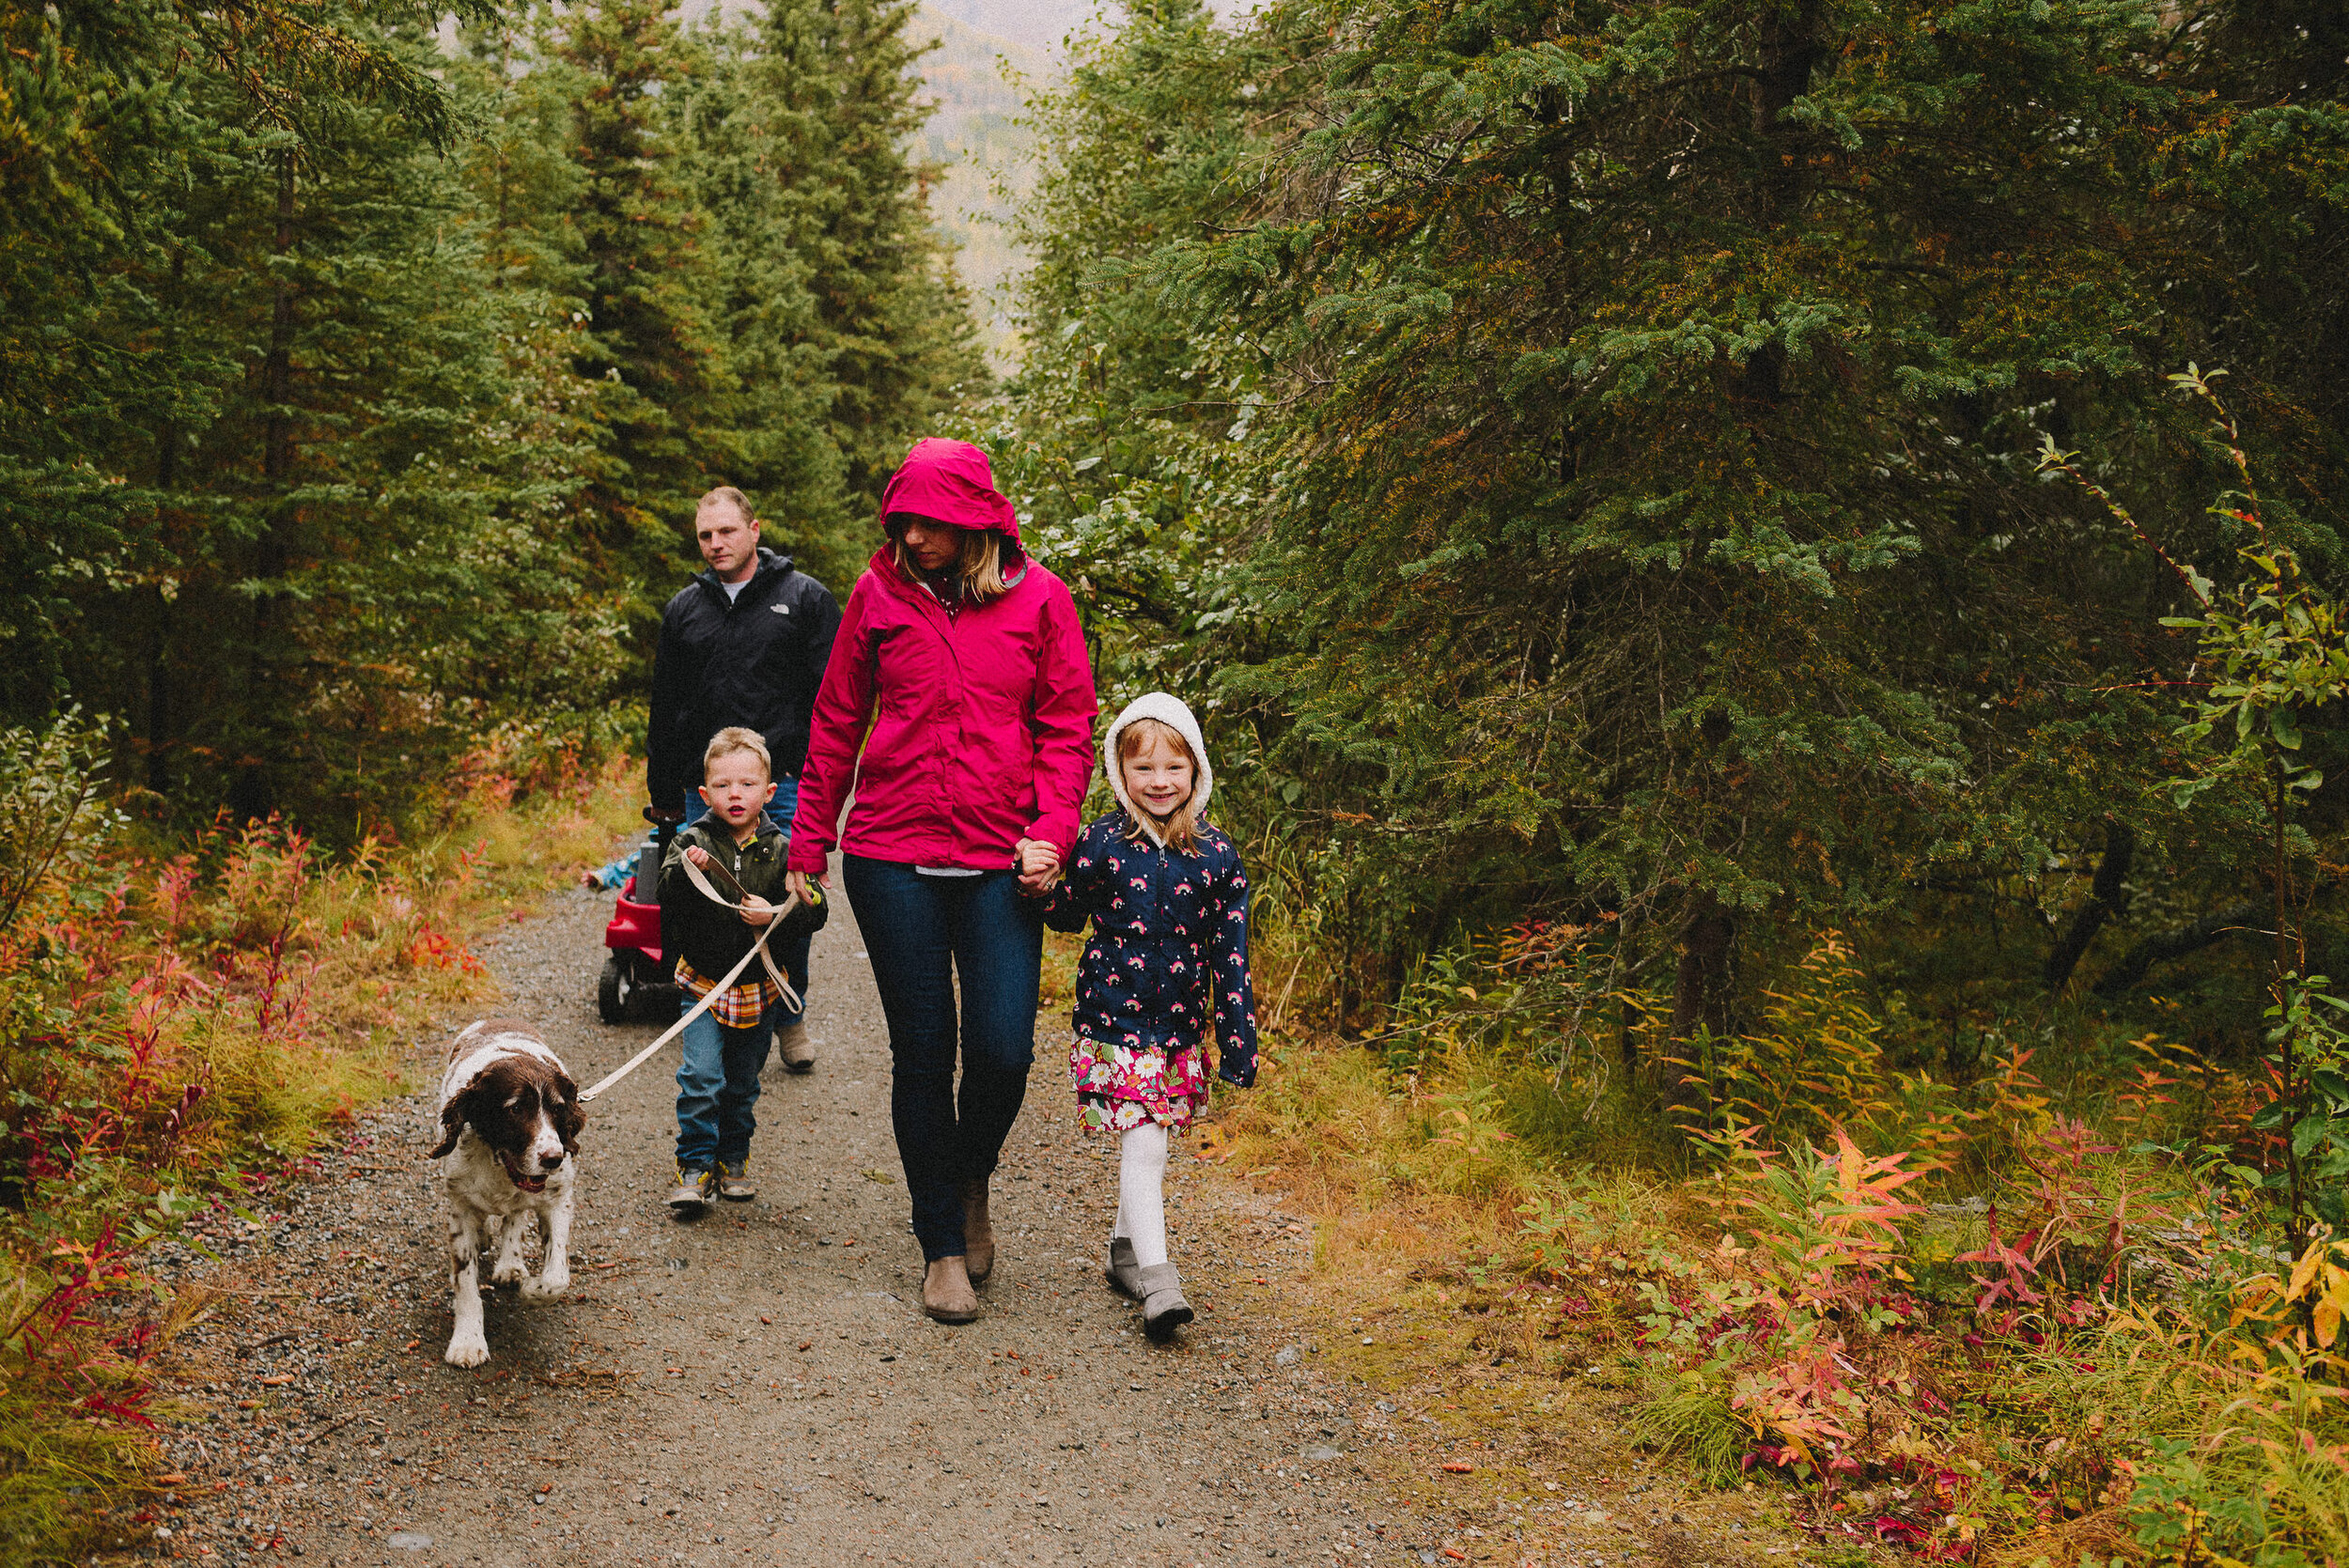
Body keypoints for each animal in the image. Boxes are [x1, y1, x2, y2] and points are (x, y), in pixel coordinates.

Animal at [439, 1023, 587, 1361]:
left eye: (558, 1108)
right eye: (516, 1108)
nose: (554, 1158)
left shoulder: (558, 1199)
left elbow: (556, 1277)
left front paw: (531, 1292)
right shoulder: (459, 1207)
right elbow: (466, 1283)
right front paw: (468, 1341)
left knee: (515, 1216)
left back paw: (510, 1264)